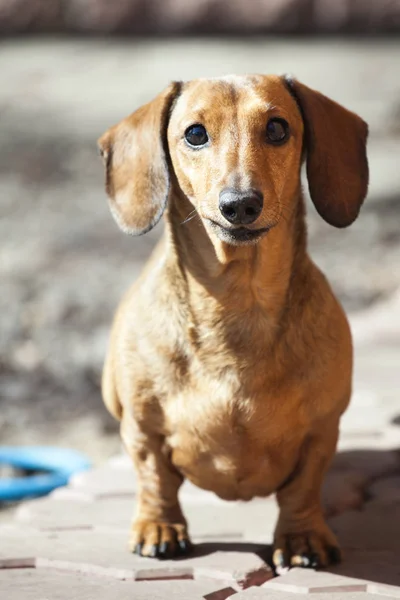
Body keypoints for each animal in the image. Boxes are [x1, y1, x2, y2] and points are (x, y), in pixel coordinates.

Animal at [97, 75, 368, 568]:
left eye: (278, 128)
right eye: (194, 133)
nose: (240, 204)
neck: (237, 306)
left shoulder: (322, 430)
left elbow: (302, 489)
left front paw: (302, 536)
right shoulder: (142, 428)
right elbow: (154, 478)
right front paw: (158, 527)